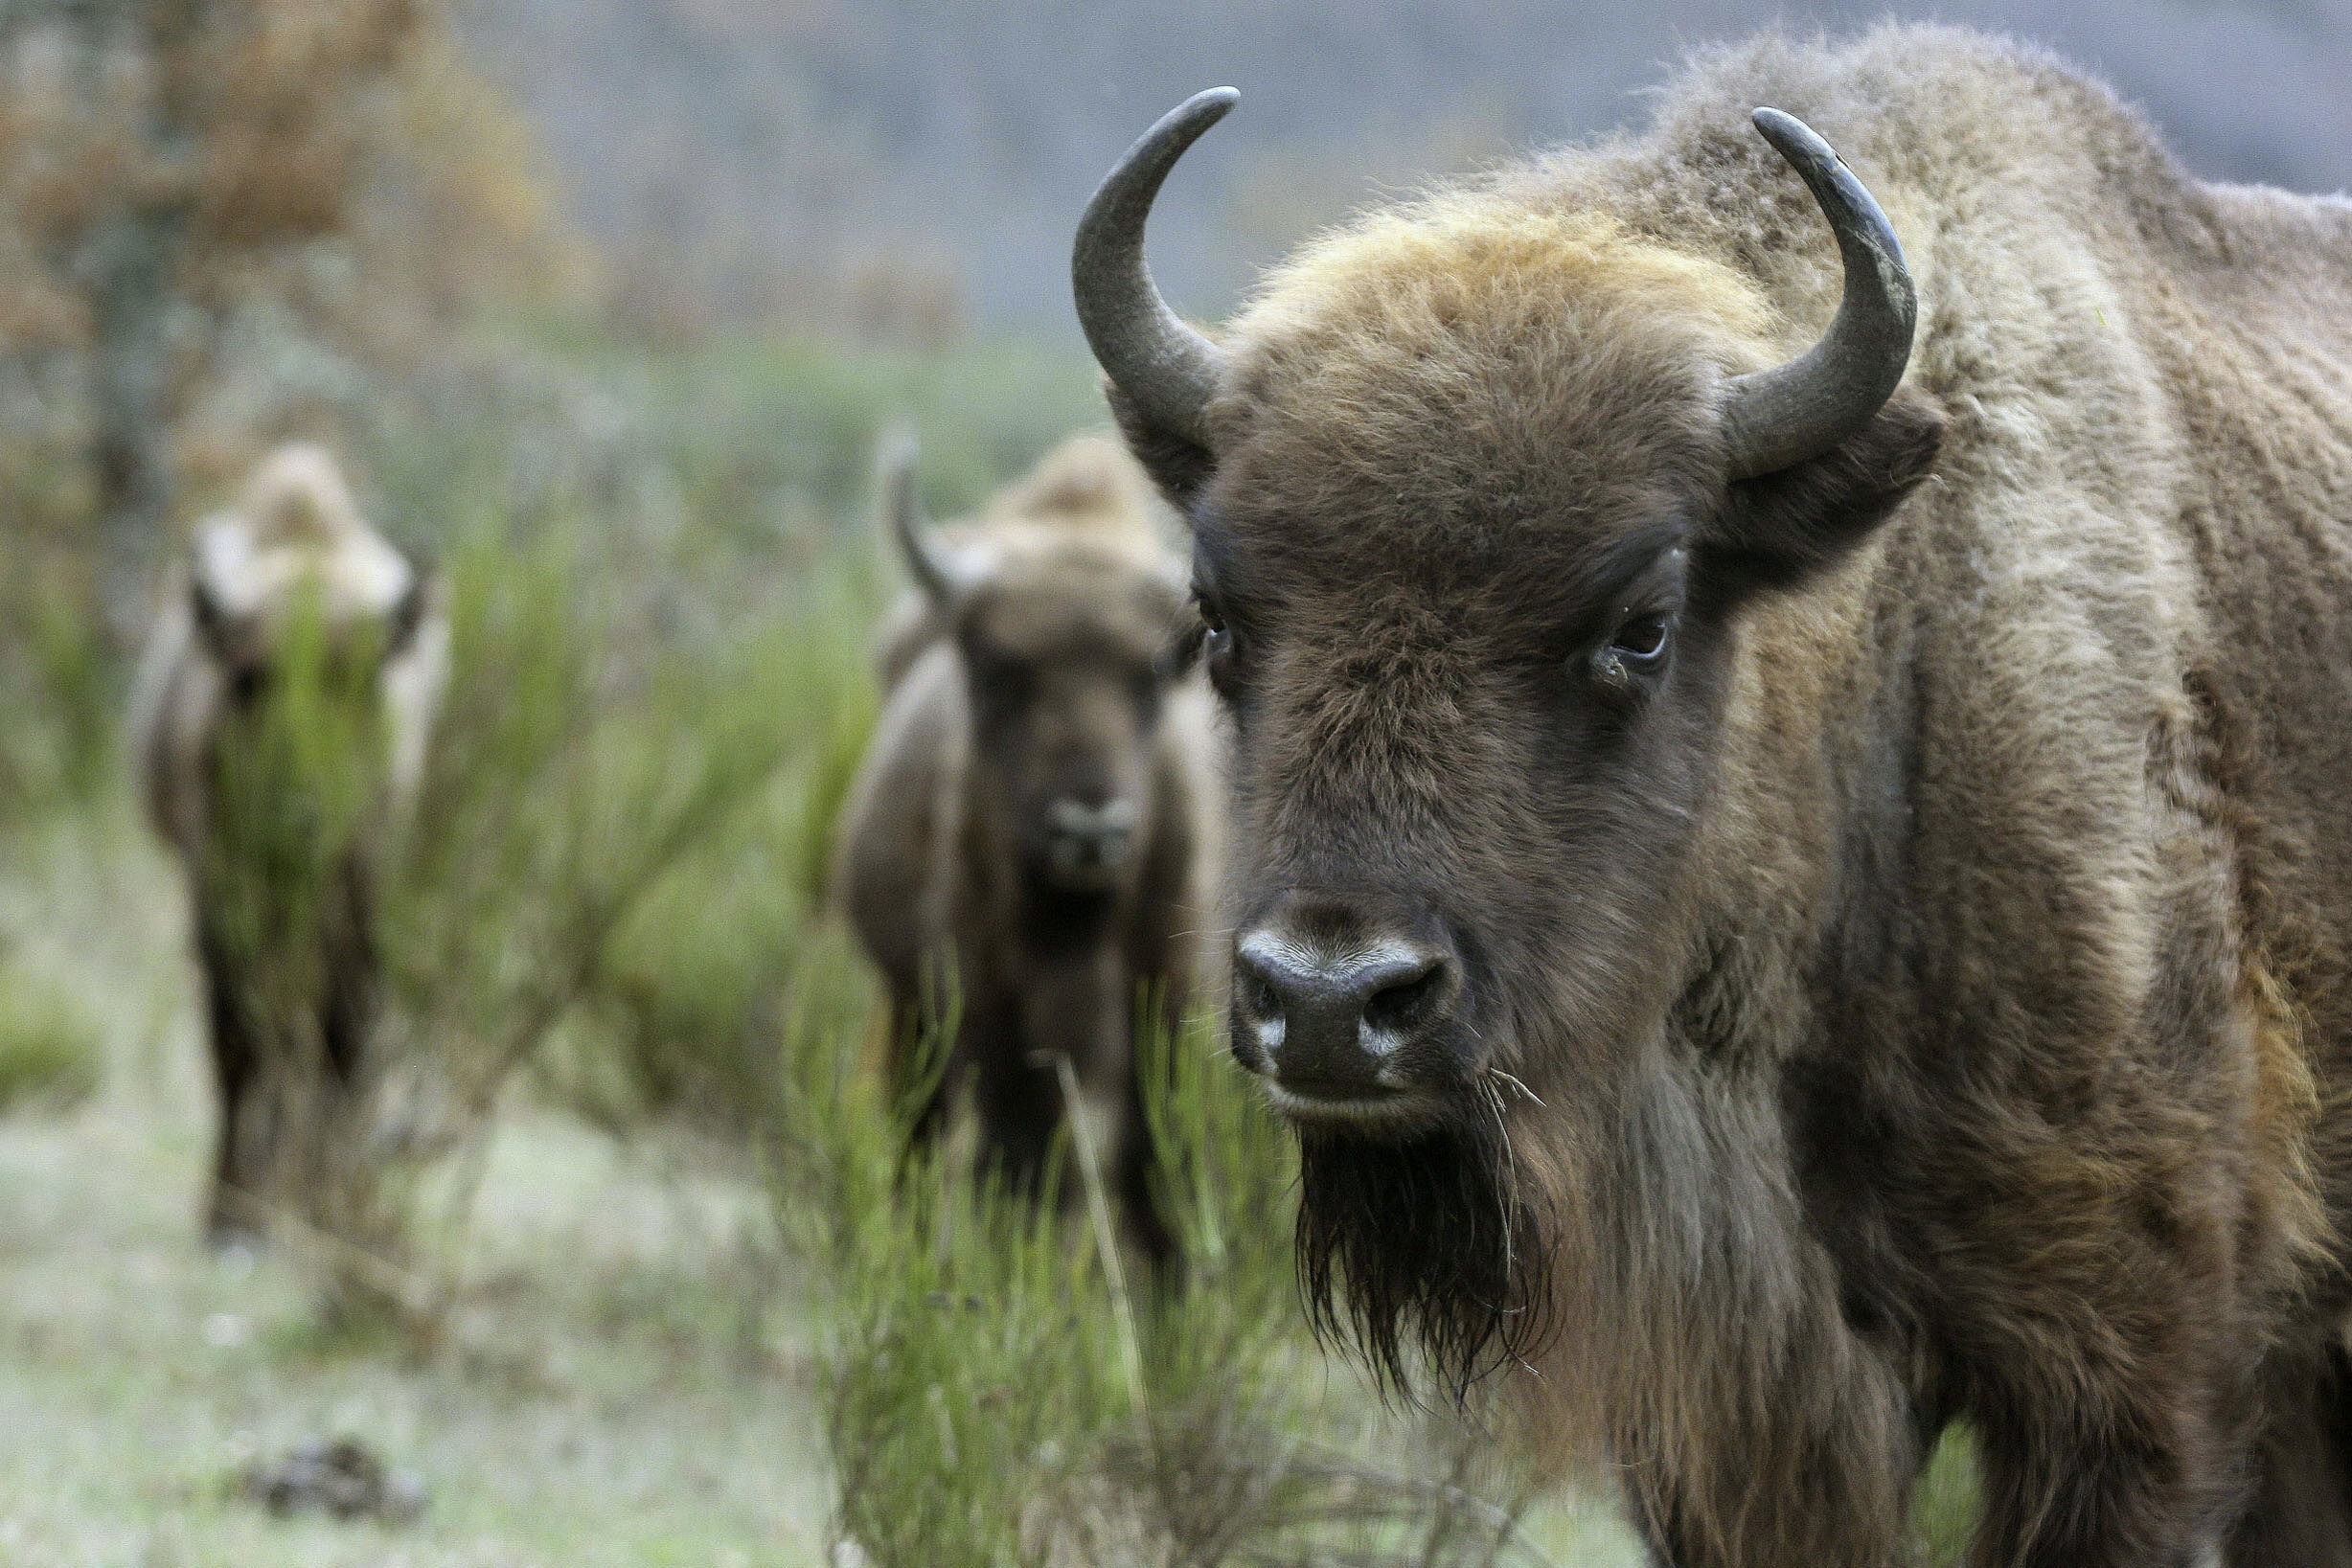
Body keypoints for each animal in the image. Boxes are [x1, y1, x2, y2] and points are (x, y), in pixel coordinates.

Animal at [131, 445, 445, 1247]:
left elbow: (344, 1045)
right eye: (248, 680)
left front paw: (325, 1205)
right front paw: (232, 1217)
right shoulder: (218, 893)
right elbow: (240, 1043)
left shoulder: (365, 904)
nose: (301, 812)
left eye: (360, 682)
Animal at [832, 434, 1220, 1262]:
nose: (1088, 830)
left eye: (1154, 673)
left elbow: (1157, 1178)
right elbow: (1016, 1163)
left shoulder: (1168, 1017)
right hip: (910, 1010)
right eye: (997, 667)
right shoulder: (984, 1018)